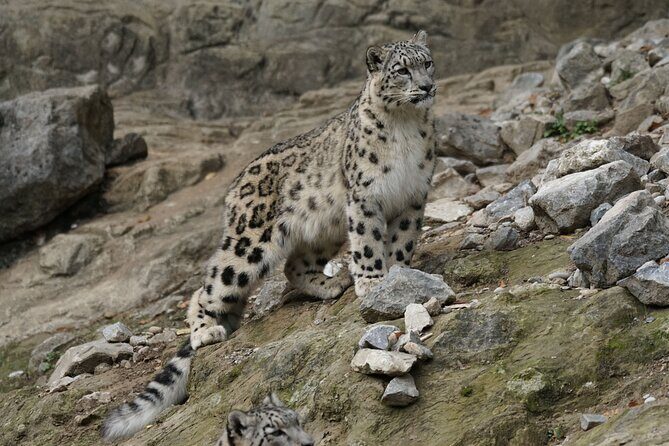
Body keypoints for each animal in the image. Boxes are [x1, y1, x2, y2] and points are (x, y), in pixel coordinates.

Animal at [102, 30, 436, 441]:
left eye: (428, 62)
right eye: (402, 70)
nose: (427, 86)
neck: (405, 127)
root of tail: (232, 189)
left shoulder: (413, 196)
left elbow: (402, 243)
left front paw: (400, 274)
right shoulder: (365, 197)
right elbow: (368, 241)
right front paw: (373, 280)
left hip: (321, 230)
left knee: (294, 267)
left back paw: (330, 283)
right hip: (248, 244)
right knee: (207, 287)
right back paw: (206, 331)